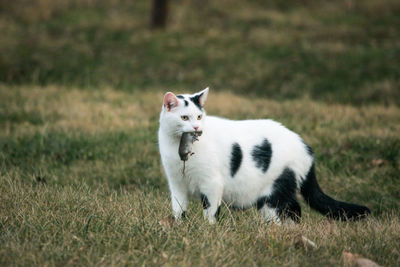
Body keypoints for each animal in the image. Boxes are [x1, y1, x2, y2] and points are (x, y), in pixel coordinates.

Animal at [158, 89, 370, 225]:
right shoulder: (176, 183)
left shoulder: (211, 184)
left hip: (274, 193)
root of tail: (306, 147)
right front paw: (179, 228)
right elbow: (178, 208)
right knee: (295, 210)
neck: (178, 149)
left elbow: (210, 211)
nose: (196, 127)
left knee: (285, 213)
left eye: (199, 117)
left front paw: (207, 231)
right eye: (184, 117)